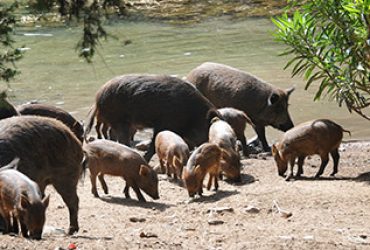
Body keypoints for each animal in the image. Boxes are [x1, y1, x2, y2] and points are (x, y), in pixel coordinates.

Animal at [85, 73, 221, 162]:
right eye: (208, 130)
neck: (192, 114)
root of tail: (98, 96)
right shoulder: (163, 123)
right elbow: (154, 144)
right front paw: (145, 160)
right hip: (120, 120)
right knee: (121, 139)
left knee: (112, 135)